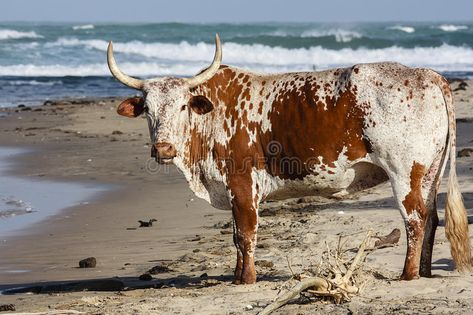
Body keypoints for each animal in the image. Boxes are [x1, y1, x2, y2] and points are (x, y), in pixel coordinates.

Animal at [105, 34, 470, 284]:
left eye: (182, 106)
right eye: (147, 110)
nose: (163, 149)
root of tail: (427, 74)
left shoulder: (242, 184)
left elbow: (246, 233)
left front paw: (246, 280)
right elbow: (236, 235)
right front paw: (236, 275)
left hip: (404, 171)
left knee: (415, 220)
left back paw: (408, 274)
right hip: (429, 172)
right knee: (431, 218)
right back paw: (424, 272)